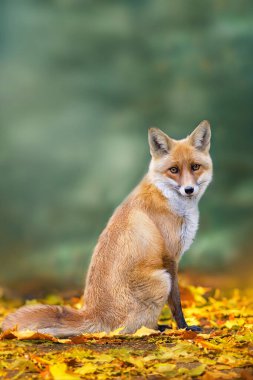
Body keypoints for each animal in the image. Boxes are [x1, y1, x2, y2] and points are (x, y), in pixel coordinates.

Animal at [1, 120, 212, 336]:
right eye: (174, 170)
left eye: (195, 167)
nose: (189, 189)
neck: (167, 197)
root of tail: (94, 313)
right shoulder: (170, 258)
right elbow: (176, 303)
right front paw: (184, 328)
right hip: (162, 280)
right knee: (134, 329)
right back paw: (157, 329)